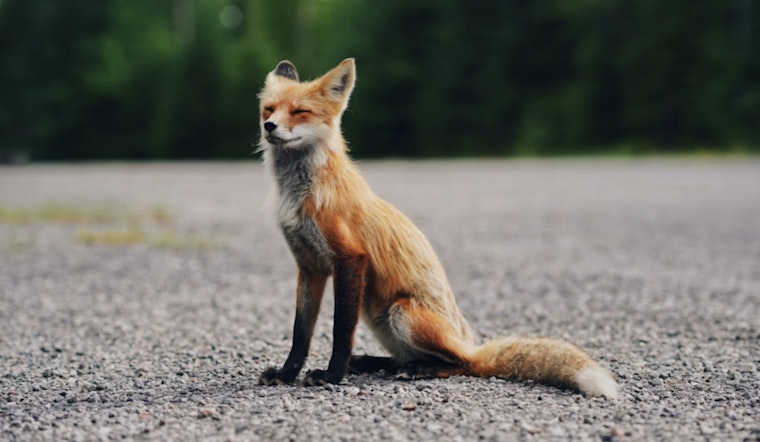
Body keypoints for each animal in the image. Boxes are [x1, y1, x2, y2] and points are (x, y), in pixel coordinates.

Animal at [256, 58, 619, 399]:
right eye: (269, 109)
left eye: (300, 111)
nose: (268, 126)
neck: (301, 195)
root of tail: (469, 342)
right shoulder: (310, 265)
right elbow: (301, 331)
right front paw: (287, 374)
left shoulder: (349, 259)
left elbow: (340, 330)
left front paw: (332, 375)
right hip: (377, 316)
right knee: (408, 358)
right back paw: (378, 363)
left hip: (401, 313)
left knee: (461, 363)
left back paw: (419, 369)